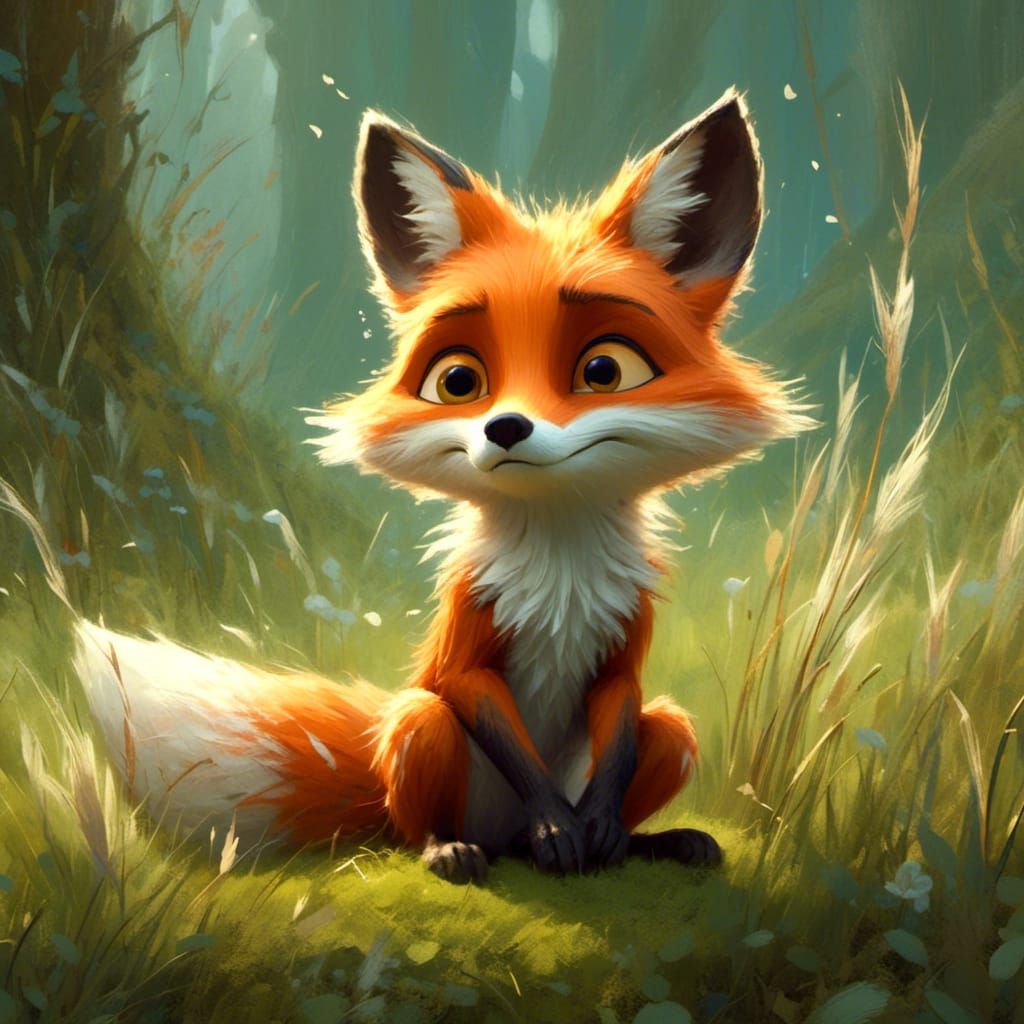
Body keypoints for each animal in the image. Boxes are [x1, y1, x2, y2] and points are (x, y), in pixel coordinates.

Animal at [72, 89, 808, 884]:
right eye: (458, 381)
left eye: (605, 370)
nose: (506, 428)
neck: (561, 571)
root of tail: (498, 832)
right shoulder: (467, 632)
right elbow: (476, 699)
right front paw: (558, 827)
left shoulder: (624, 645)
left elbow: (617, 724)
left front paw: (601, 830)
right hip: (418, 728)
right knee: (415, 816)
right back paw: (454, 848)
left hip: (672, 732)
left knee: (655, 733)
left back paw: (657, 841)